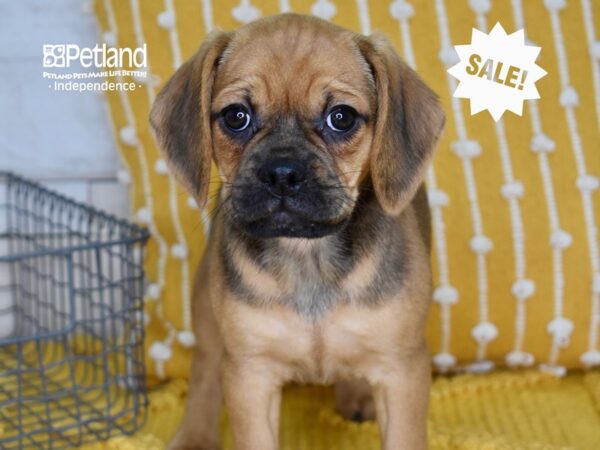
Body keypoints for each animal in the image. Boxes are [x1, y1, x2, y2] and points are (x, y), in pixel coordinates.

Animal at [152, 12, 446, 448]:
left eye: (341, 117)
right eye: (235, 116)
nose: (282, 172)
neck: (308, 256)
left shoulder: (401, 372)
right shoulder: (250, 374)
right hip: (206, 309)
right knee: (204, 369)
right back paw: (195, 435)